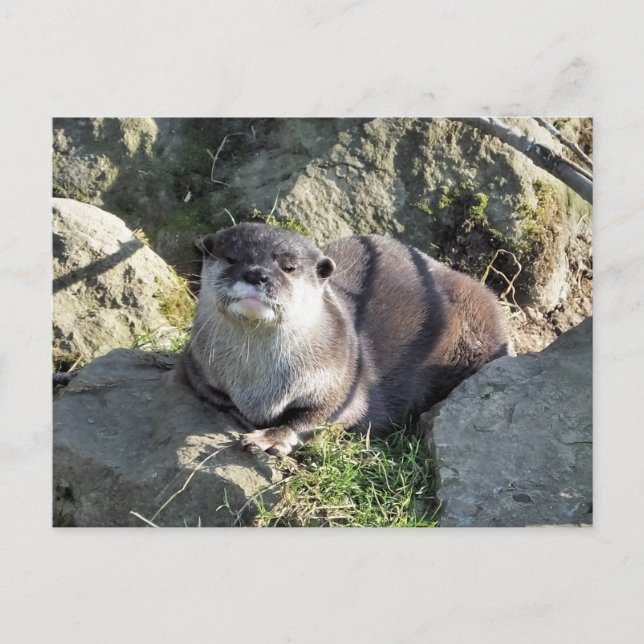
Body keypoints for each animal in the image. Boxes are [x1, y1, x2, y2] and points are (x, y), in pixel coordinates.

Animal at [180, 222, 510, 456]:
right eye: (231, 258)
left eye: (289, 267)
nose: (256, 274)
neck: (258, 385)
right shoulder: (195, 362)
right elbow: (214, 394)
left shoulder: (344, 378)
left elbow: (319, 416)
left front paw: (270, 437)